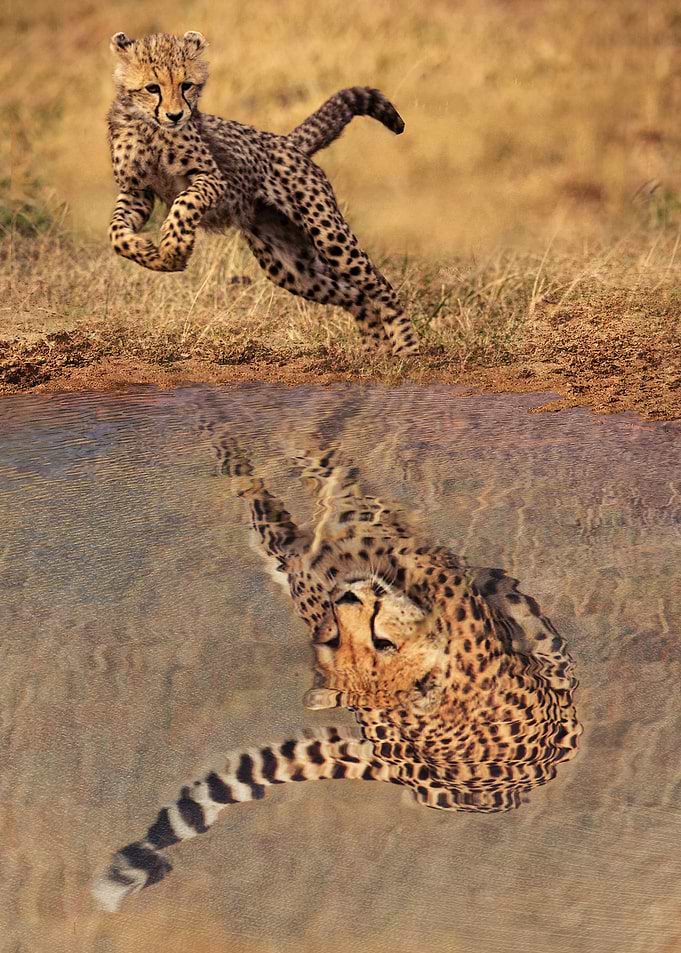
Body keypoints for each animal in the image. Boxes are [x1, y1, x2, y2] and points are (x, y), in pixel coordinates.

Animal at [92, 423, 582, 912]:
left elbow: (302, 494)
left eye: (380, 640)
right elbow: (316, 489)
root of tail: (398, 765)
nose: (344, 597)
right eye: (341, 638)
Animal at [107, 30, 418, 355]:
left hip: (329, 237)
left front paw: (173, 249)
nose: (175, 115)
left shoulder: (213, 179)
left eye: (186, 85)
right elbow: (116, 234)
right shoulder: (136, 191)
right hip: (292, 267)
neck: (151, 129)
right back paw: (374, 350)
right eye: (152, 88)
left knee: (380, 286)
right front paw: (151, 254)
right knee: (354, 295)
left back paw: (406, 350)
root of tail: (287, 141)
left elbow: (183, 204)